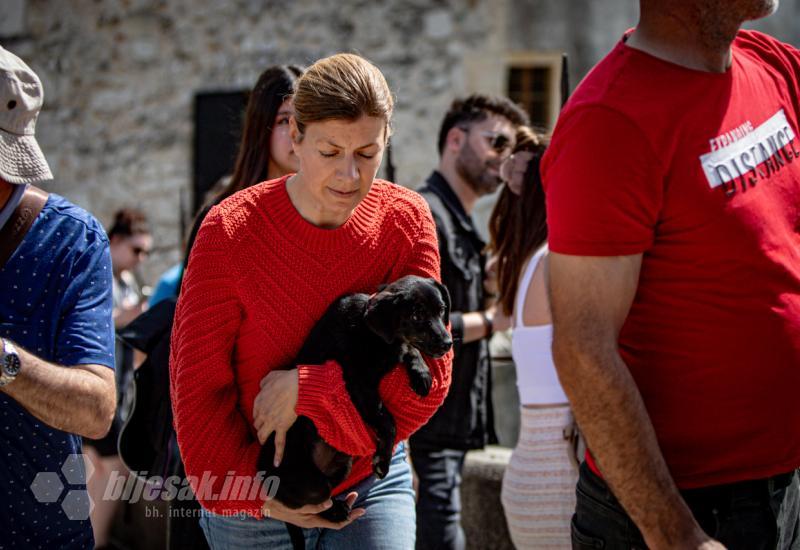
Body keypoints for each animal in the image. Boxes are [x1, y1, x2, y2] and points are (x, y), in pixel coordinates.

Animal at [260, 276, 454, 528]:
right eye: (416, 315)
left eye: (441, 310)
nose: (448, 343)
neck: (371, 332)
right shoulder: (360, 385)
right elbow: (388, 422)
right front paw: (383, 460)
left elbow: (409, 348)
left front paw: (421, 372)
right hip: (310, 482)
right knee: (315, 501)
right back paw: (336, 510)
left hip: (342, 466)